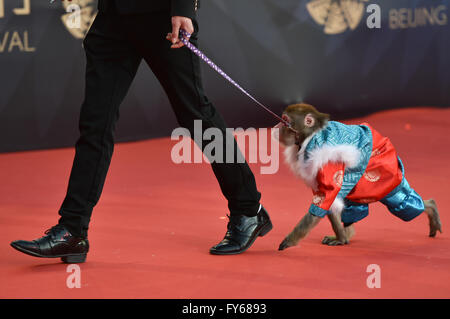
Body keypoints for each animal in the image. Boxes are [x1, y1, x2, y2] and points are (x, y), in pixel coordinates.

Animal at [270, 104, 442, 251]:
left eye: (284, 120)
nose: (276, 127)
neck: (311, 135)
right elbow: (329, 198)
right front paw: (341, 237)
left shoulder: (325, 158)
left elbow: (326, 196)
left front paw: (291, 240)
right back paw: (348, 232)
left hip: (383, 171)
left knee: (398, 200)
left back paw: (431, 207)